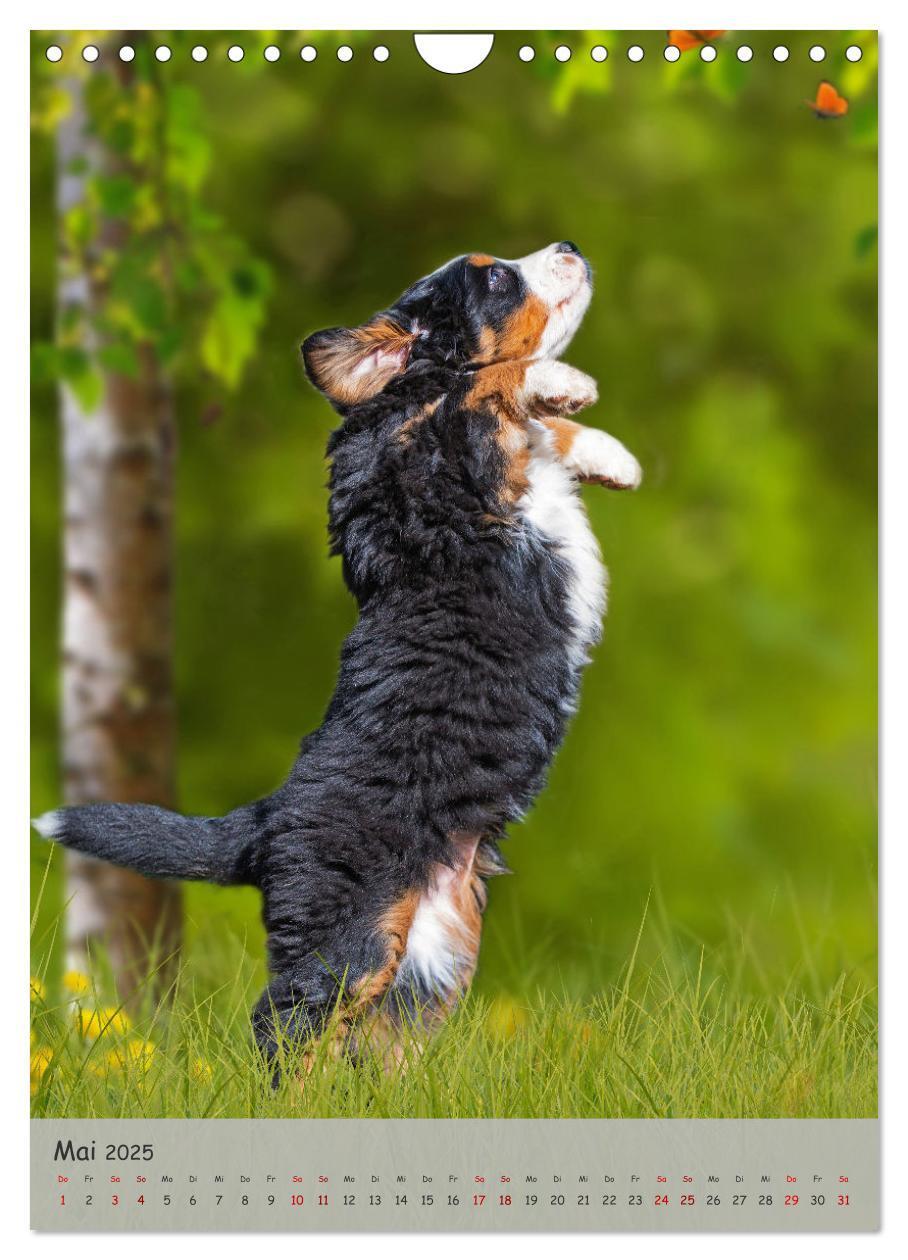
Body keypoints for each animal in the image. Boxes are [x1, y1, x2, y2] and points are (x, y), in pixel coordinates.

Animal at [33, 243, 637, 1073]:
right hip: (345, 934)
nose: (570, 248)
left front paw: (612, 455)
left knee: (365, 1044)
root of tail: (264, 821)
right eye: (494, 276)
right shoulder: (443, 460)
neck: (392, 407)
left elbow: (524, 420)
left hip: (428, 956)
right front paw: (562, 385)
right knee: (286, 1031)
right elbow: (480, 386)